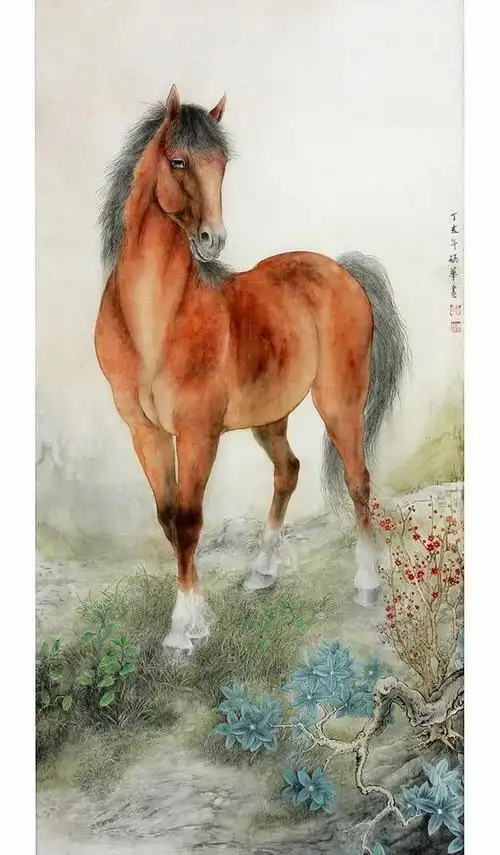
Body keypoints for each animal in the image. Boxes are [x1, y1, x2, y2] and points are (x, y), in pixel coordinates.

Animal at [95, 85, 408, 653]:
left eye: (222, 164)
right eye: (179, 160)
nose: (211, 239)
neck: (156, 320)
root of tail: (341, 268)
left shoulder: (197, 432)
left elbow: (190, 521)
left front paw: (184, 631)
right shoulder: (145, 433)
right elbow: (168, 520)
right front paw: (193, 619)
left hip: (340, 402)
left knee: (357, 481)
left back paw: (367, 583)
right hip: (270, 417)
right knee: (289, 471)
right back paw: (262, 573)